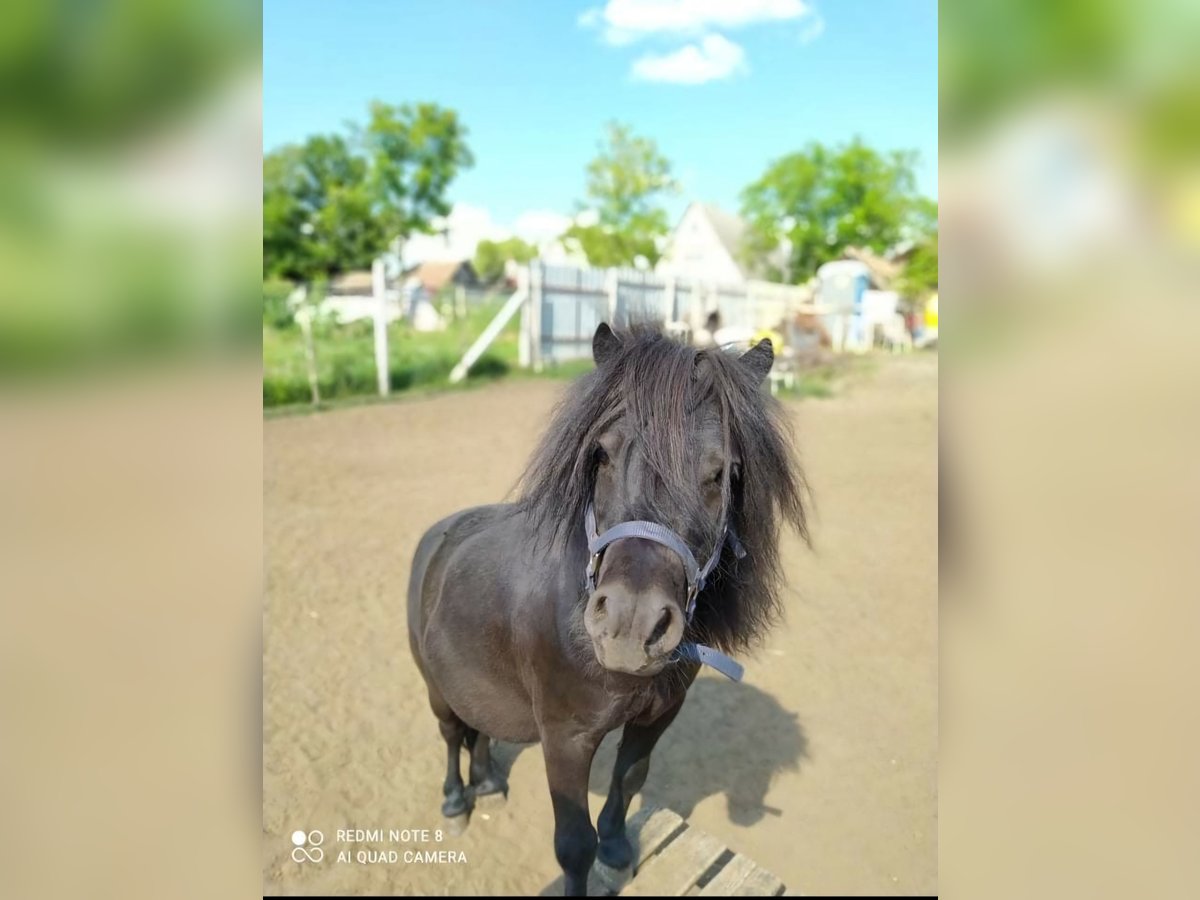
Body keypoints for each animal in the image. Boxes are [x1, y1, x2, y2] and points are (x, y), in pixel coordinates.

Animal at [408, 321, 811, 897]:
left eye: (721, 473)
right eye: (600, 454)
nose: (630, 625)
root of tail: (438, 535)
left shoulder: (656, 717)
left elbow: (630, 779)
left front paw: (619, 852)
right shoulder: (566, 738)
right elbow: (574, 844)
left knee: (478, 728)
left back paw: (486, 781)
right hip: (436, 688)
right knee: (448, 735)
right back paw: (455, 801)